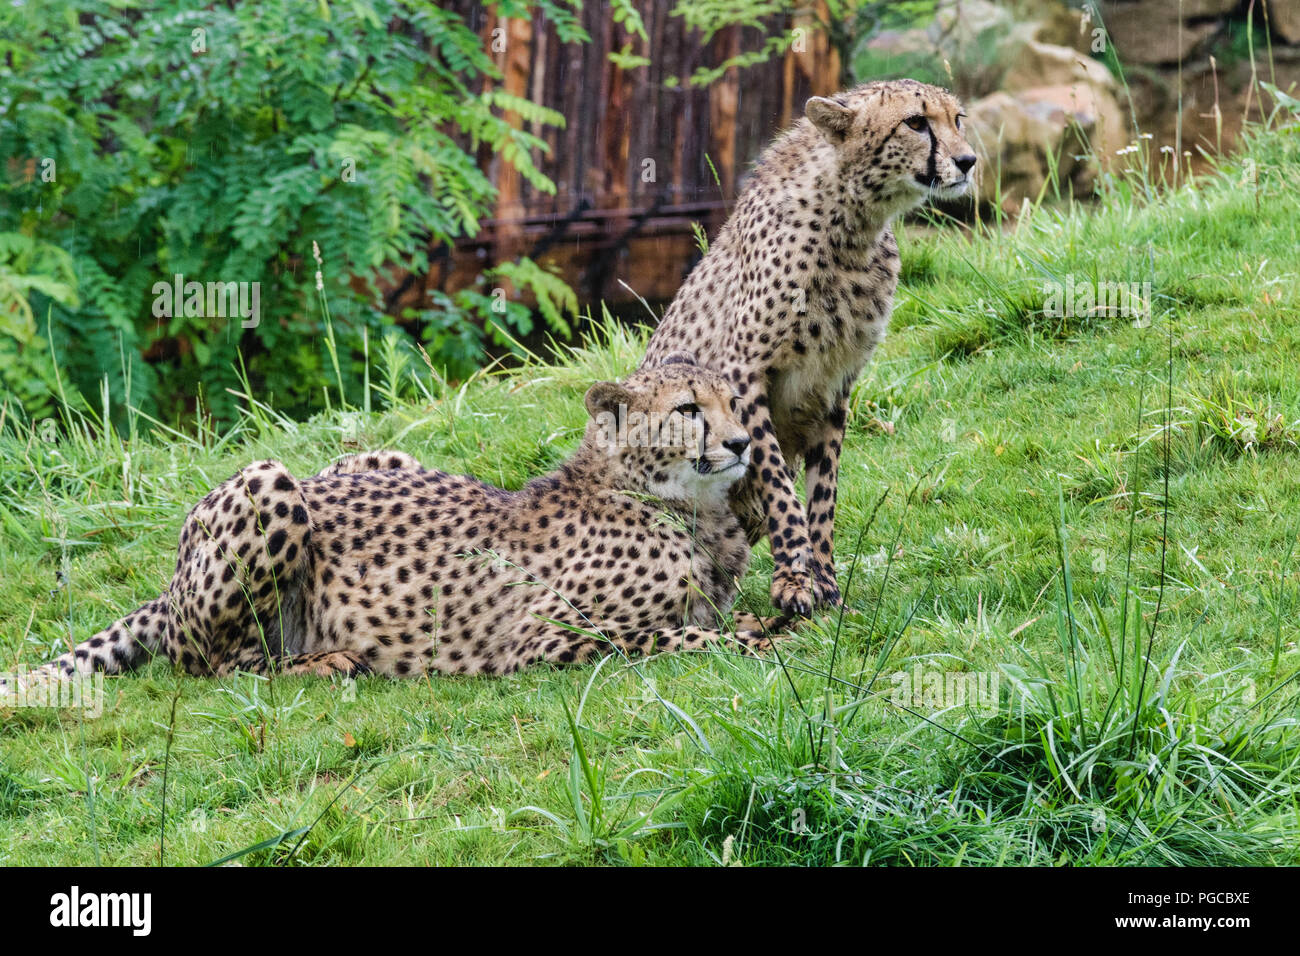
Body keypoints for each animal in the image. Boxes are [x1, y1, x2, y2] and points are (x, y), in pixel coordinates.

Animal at [10, 356, 780, 686]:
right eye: (688, 409)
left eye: (731, 399)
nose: (742, 442)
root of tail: (170, 583)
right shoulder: (539, 638)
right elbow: (672, 635)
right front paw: (752, 640)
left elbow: (708, 619)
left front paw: (756, 622)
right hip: (270, 483)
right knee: (209, 662)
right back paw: (326, 662)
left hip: (381, 456)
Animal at [642, 76, 977, 613]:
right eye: (916, 122)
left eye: (957, 119)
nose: (968, 161)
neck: (852, 225)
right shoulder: (744, 374)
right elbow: (779, 485)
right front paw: (795, 581)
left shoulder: (834, 386)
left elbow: (823, 496)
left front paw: (825, 584)